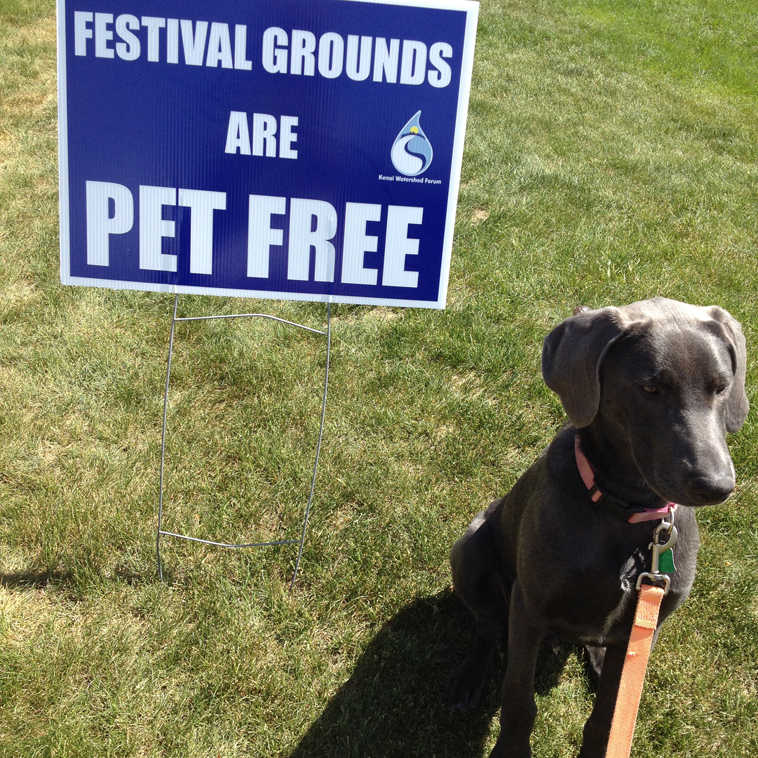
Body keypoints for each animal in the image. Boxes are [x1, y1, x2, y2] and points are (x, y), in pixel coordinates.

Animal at [452, 298, 748, 758]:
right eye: (650, 388)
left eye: (721, 386)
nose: (717, 486)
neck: (626, 513)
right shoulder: (529, 604)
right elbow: (518, 699)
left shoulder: (644, 629)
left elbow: (608, 715)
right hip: (469, 549)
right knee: (487, 624)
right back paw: (470, 678)